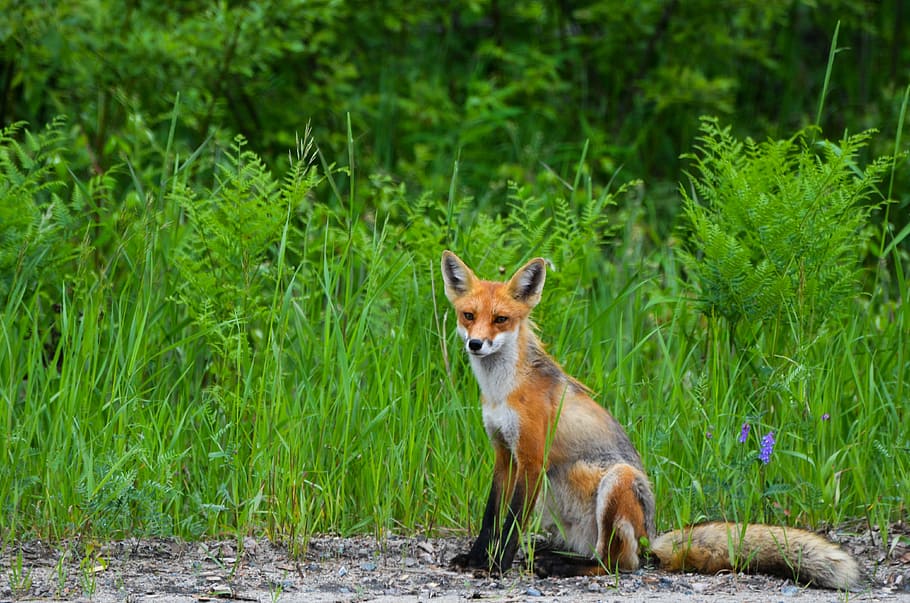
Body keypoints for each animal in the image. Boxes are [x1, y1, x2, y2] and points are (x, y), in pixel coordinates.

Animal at [440, 250, 861, 591]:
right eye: (469, 316)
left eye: (501, 319)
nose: (475, 344)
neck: (502, 391)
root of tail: (652, 536)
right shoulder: (503, 453)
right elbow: (490, 516)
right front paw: (477, 559)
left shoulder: (530, 458)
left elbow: (510, 523)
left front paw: (496, 566)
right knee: (603, 554)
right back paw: (554, 556)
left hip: (618, 481)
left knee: (619, 563)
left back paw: (561, 566)